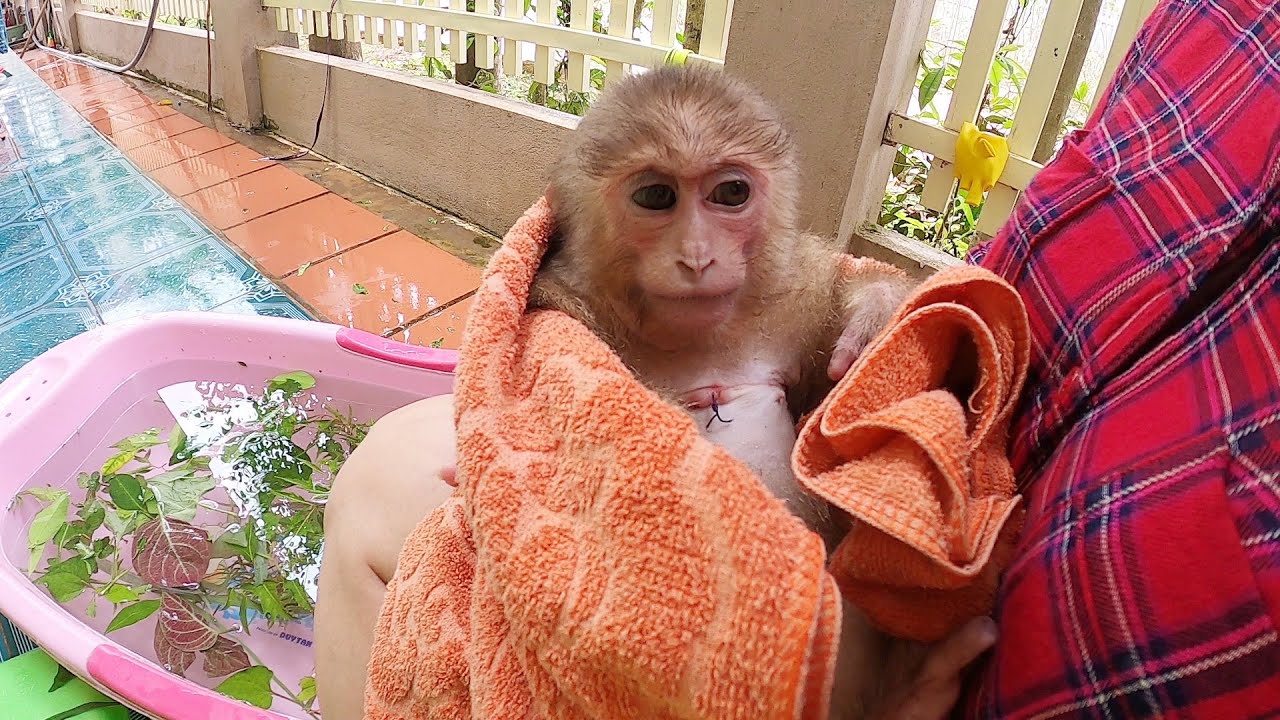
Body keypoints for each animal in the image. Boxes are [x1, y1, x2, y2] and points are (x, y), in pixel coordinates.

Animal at [527, 65, 994, 720]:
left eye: (730, 194)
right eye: (655, 197)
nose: (697, 258)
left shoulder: (790, 298)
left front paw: (874, 321)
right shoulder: (565, 307)